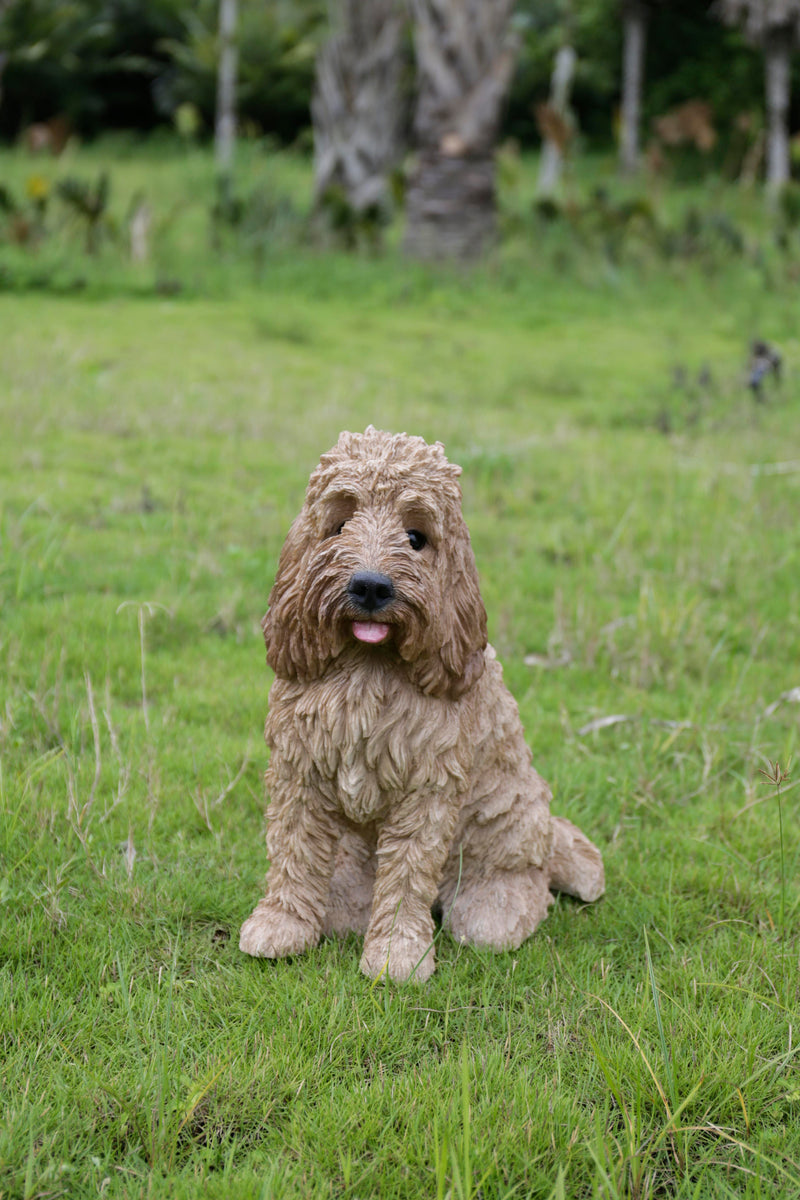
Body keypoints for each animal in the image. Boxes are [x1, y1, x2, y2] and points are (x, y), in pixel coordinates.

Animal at [241, 427, 604, 979]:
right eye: (339, 525)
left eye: (416, 537)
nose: (370, 586)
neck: (369, 666)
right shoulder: (298, 768)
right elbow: (293, 851)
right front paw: (281, 925)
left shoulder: (428, 786)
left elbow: (408, 873)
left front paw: (397, 955)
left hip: (510, 816)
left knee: (521, 879)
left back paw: (496, 907)